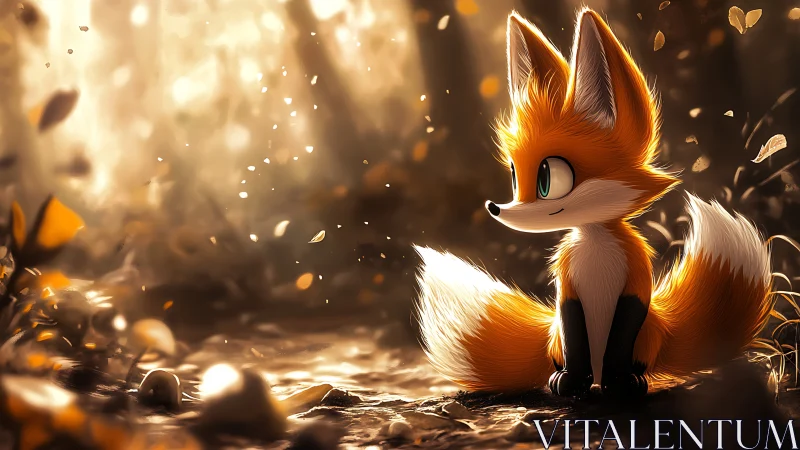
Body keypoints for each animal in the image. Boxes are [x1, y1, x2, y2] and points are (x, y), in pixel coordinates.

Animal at [413, 8, 774, 398]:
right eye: (513, 176)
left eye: (547, 179)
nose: (496, 208)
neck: (595, 243)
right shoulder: (567, 286)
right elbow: (575, 336)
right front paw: (571, 382)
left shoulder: (636, 278)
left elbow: (622, 333)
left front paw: (620, 383)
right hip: (557, 336)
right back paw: (569, 379)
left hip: (647, 333)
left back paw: (627, 380)